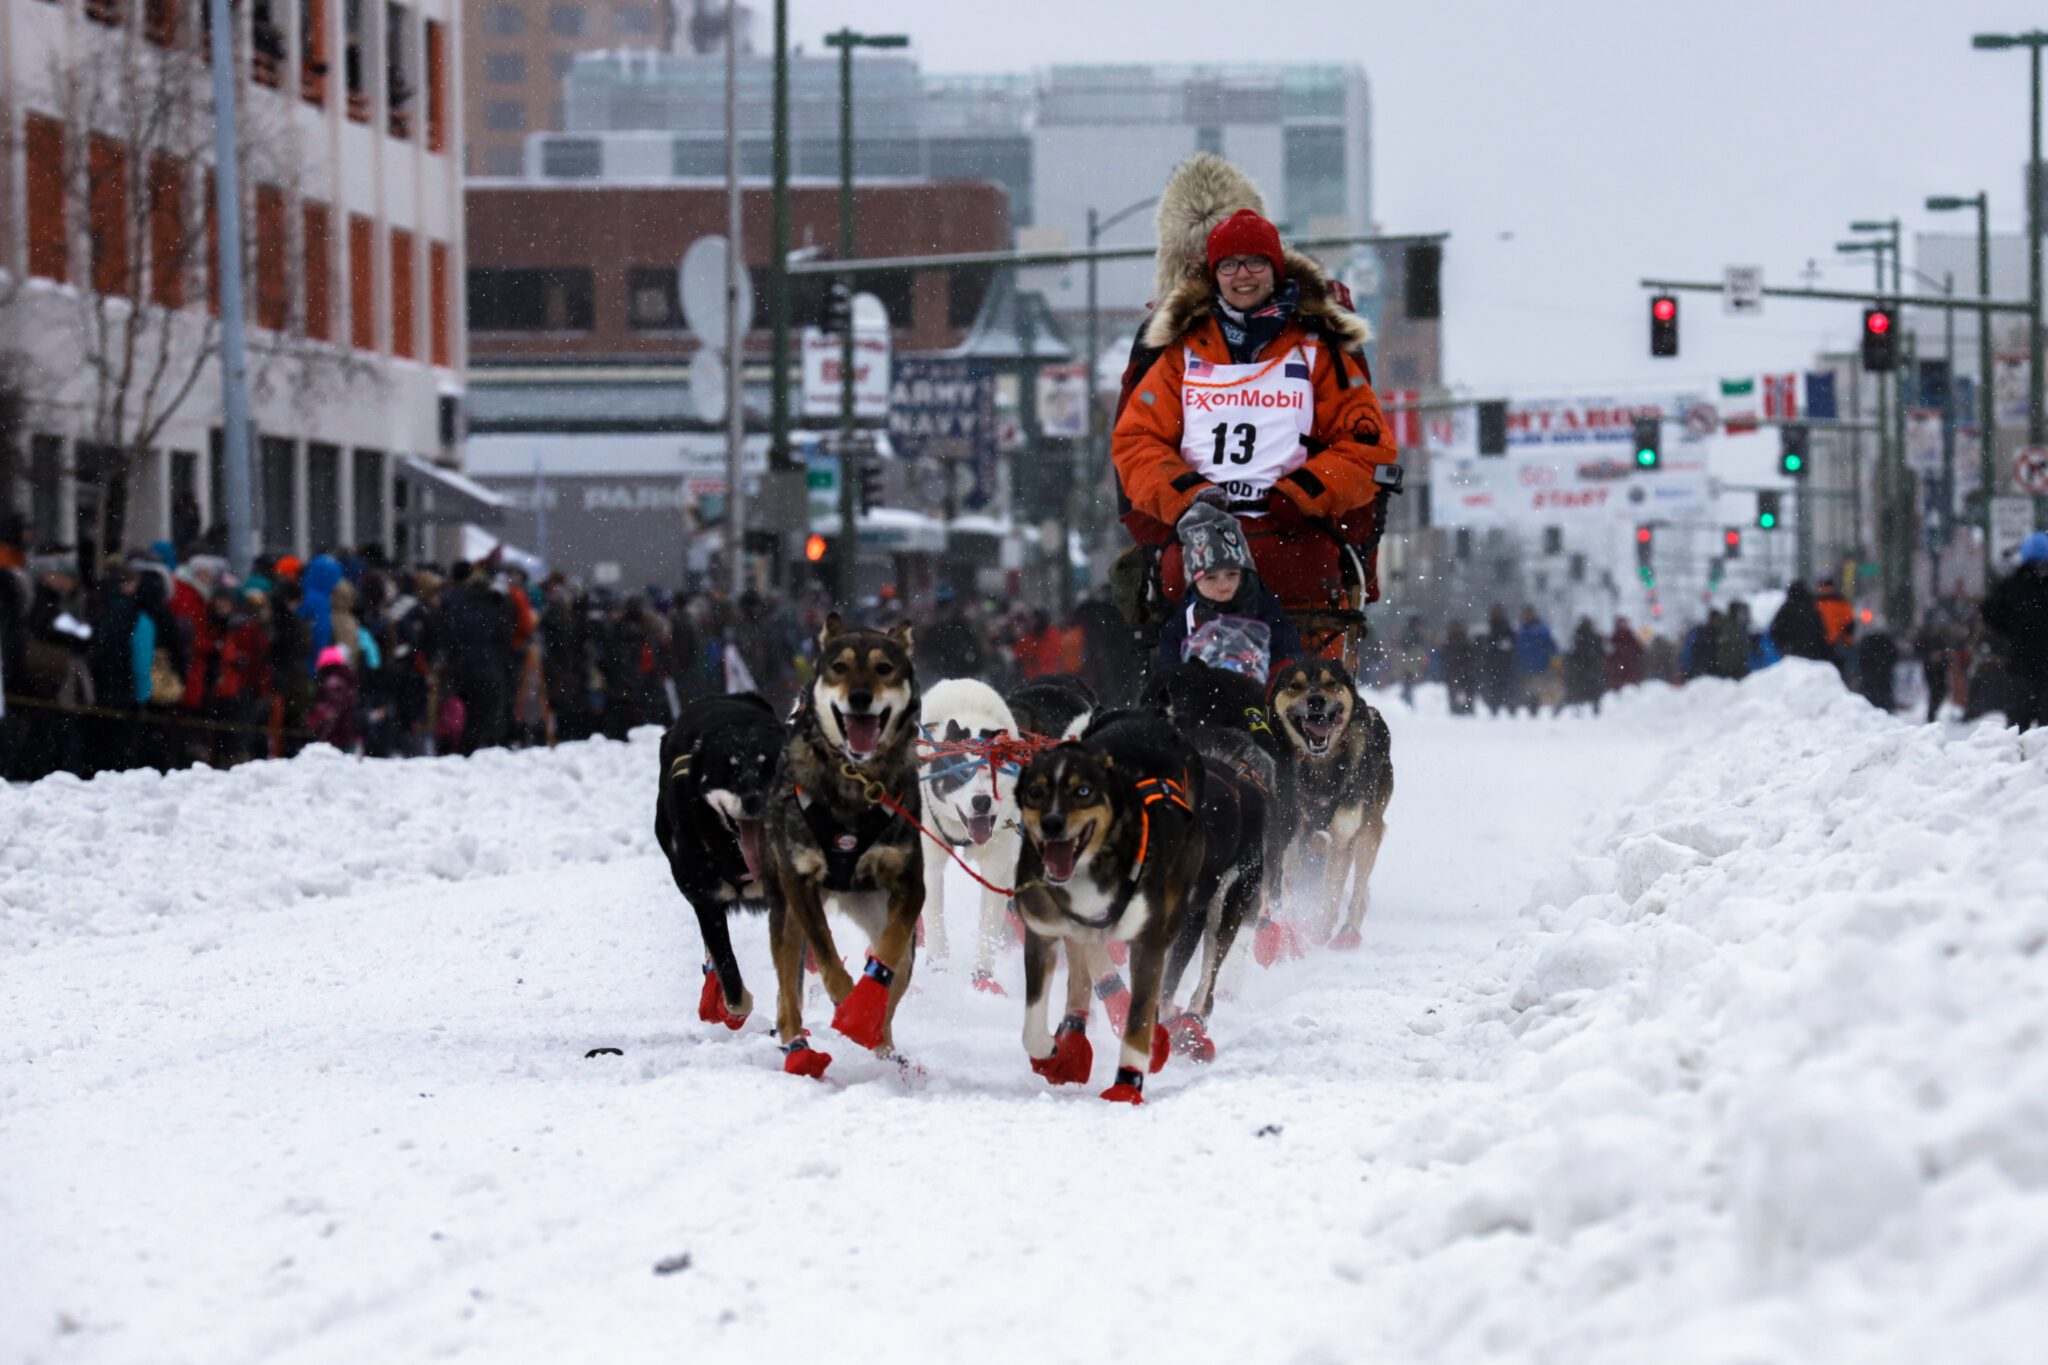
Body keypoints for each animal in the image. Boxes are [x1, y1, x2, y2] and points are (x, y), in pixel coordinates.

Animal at [761, 618, 929, 1080]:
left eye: (885, 668)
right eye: (839, 667)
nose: (859, 697)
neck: (857, 779)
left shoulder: (910, 884)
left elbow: (887, 955)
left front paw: (863, 1010)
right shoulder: (799, 880)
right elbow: (826, 952)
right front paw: (846, 999)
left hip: (891, 921)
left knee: (894, 984)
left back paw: (886, 1049)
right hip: (787, 915)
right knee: (788, 992)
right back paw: (798, 1049)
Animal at [921, 679, 1032, 994]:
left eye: (994, 770)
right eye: (961, 773)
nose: (981, 802)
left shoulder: (998, 865)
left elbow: (989, 925)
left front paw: (983, 977)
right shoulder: (929, 861)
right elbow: (934, 919)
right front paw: (938, 969)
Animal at [1269, 663, 1400, 949]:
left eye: (1331, 683)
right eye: (1294, 685)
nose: (1316, 700)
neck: (1320, 766)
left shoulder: (1344, 836)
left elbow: (1332, 891)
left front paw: (1319, 932)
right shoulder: (1290, 828)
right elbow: (1290, 877)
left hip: (1369, 830)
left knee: (1359, 888)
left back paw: (1348, 932)